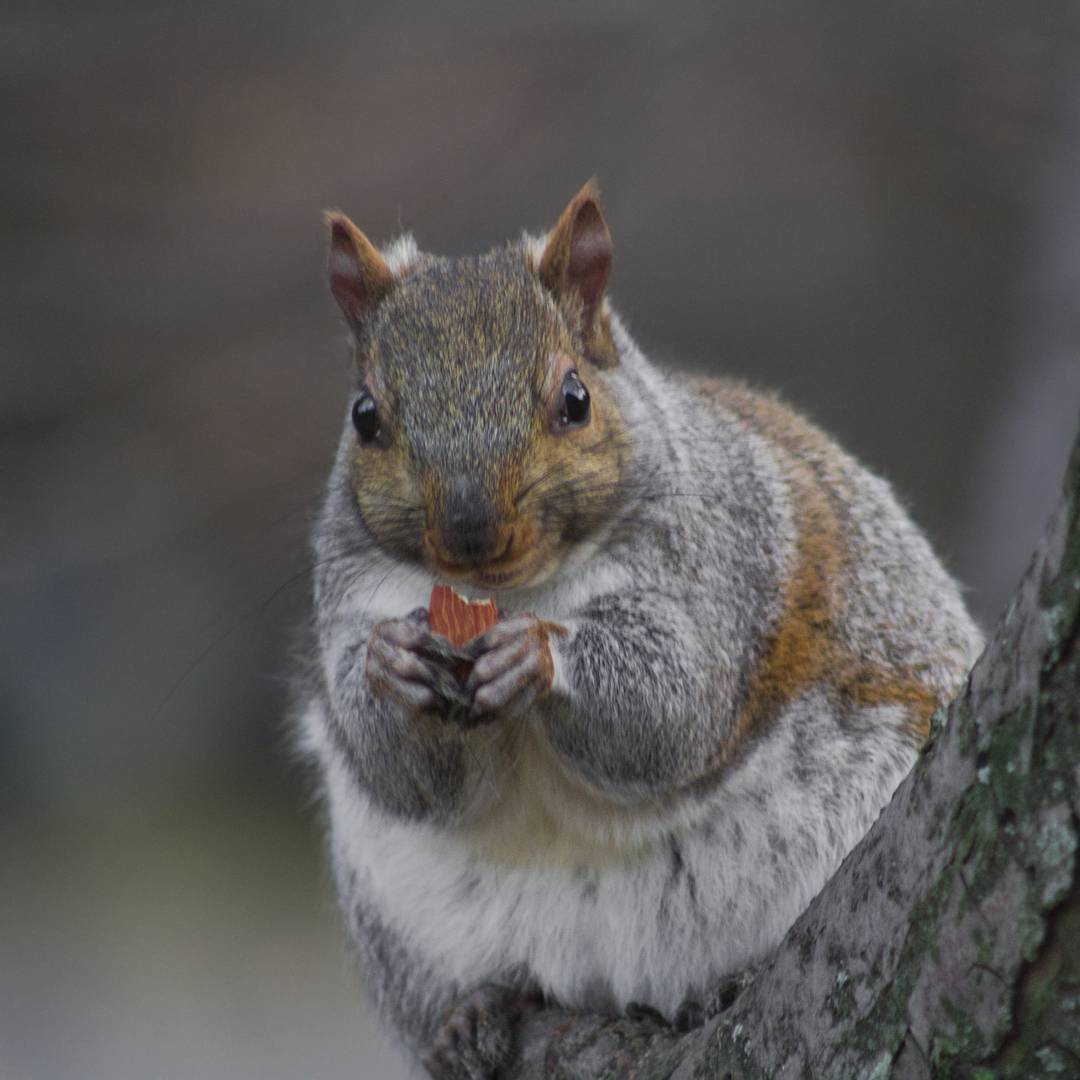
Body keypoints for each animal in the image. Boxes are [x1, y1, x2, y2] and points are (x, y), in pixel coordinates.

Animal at [298, 181, 989, 1075]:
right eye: (364, 416)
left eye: (575, 400)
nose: (471, 532)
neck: (510, 592)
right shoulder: (348, 596)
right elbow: (403, 773)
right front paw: (391, 666)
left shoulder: (718, 567)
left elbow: (671, 706)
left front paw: (540, 657)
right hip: (402, 929)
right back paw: (473, 1013)